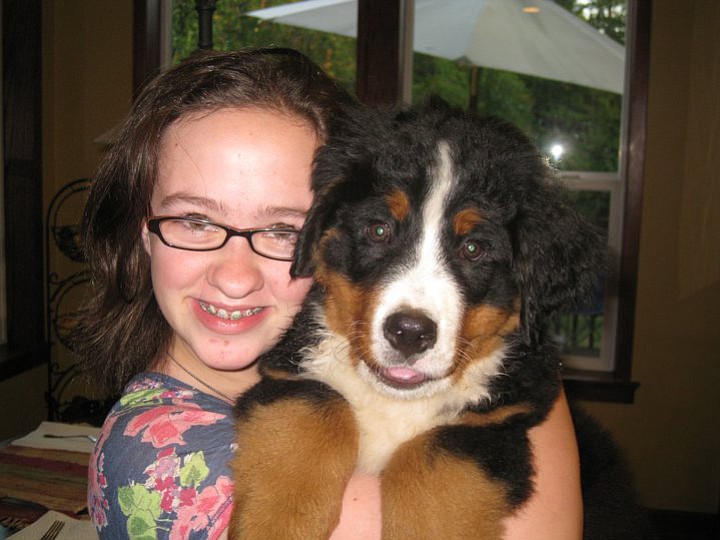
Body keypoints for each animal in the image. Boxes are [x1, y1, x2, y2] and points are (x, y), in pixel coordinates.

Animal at [229, 101, 648, 540]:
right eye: (379, 230)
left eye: (474, 248)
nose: (409, 333)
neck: (395, 403)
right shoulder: (289, 375)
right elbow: (318, 405)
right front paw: (276, 525)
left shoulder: (494, 427)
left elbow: (432, 461)